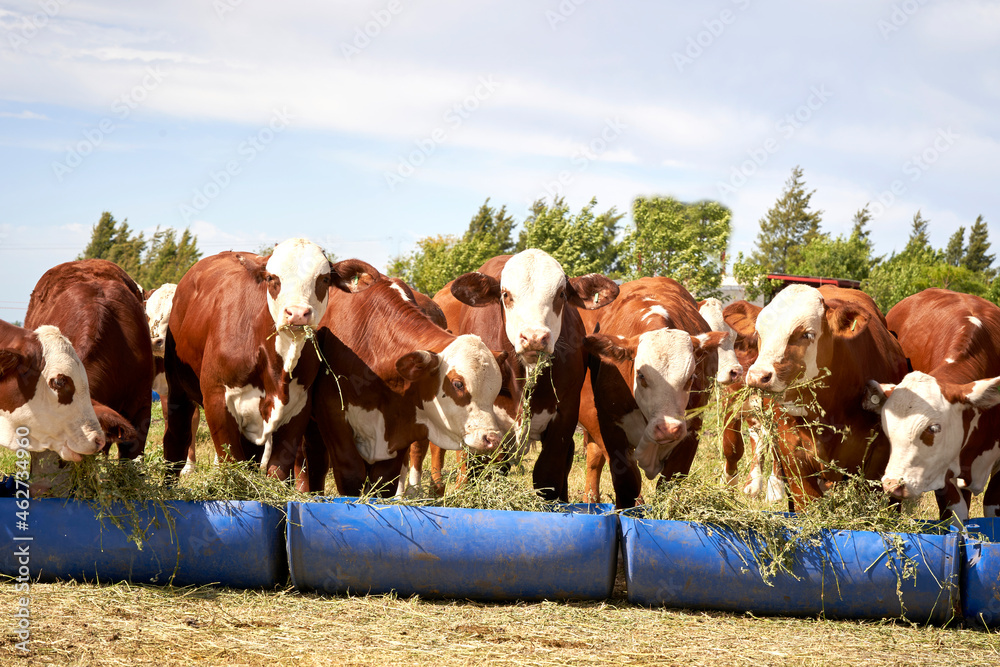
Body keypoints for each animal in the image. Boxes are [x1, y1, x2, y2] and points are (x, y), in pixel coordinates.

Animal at [162, 239, 380, 480]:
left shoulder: (298, 409)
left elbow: (278, 470)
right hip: (177, 389)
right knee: (176, 439)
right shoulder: (217, 400)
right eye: (271, 278)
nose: (297, 313)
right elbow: (232, 464)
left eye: (324, 279)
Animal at [301, 276, 508, 496]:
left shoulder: (400, 424)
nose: (492, 438)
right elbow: (351, 474)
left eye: (495, 391)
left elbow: (385, 479)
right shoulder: (332, 415)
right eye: (458, 384)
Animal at [576, 277, 727, 508]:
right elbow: (628, 484)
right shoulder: (610, 428)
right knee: (595, 461)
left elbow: (670, 484)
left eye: (690, 377)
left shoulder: (691, 430)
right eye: (641, 375)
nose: (668, 429)